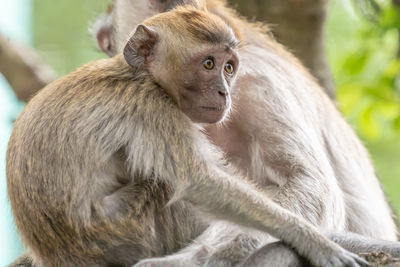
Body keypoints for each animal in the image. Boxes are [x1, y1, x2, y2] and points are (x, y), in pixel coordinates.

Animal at [6, 5, 370, 267]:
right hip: (122, 230)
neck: (142, 75)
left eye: (228, 67)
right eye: (208, 64)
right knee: (163, 185)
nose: (225, 92)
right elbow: (200, 182)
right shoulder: (153, 109)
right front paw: (313, 240)